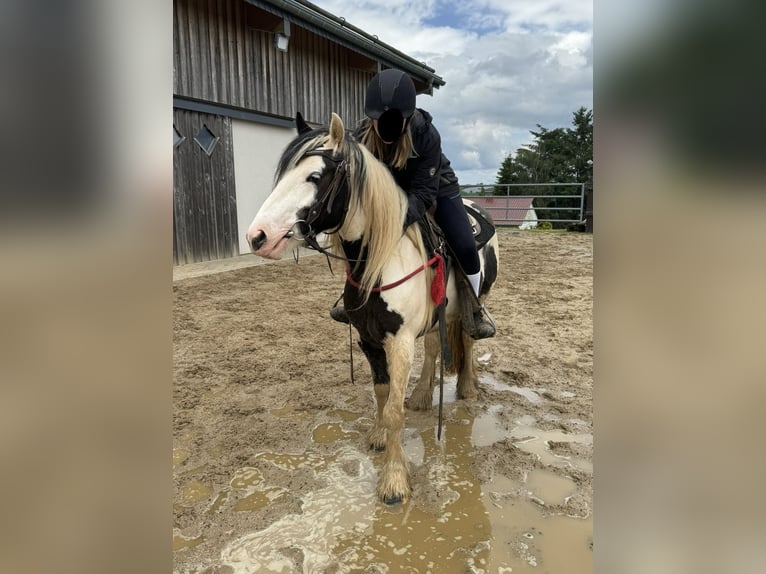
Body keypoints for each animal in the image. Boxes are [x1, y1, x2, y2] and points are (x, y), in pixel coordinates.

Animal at [243, 113, 500, 508]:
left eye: (314, 176)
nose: (258, 236)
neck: (382, 260)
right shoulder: (368, 338)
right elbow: (381, 393)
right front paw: (379, 437)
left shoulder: (399, 341)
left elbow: (394, 409)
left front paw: (394, 481)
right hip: (436, 319)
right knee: (433, 348)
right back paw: (422, 396)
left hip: (476, 299)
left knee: (469, 340)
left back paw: (468, 389)